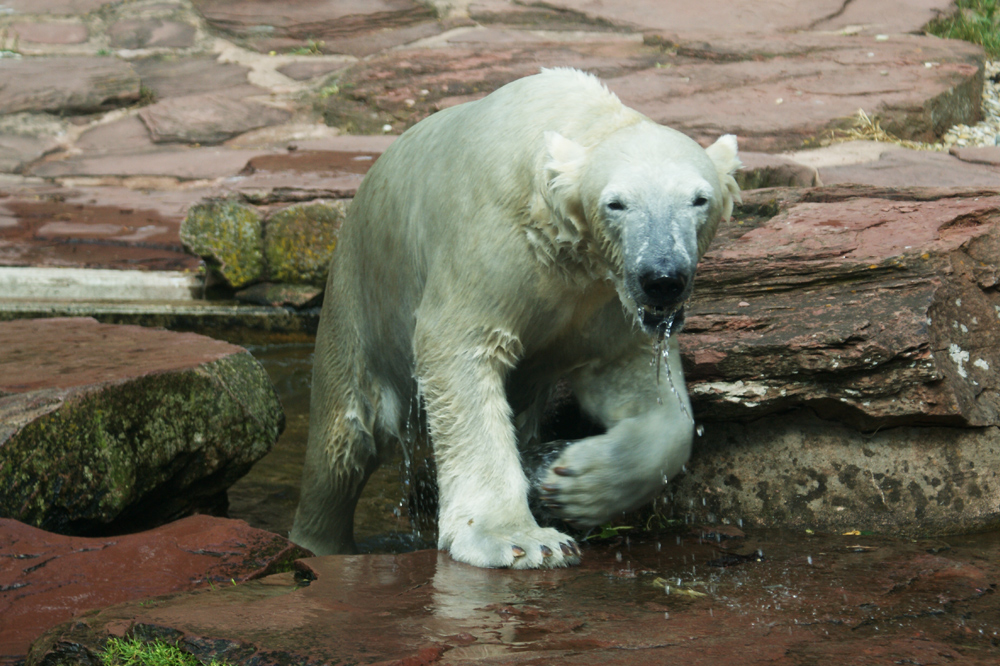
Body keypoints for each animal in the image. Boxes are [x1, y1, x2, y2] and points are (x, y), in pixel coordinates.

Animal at [290, 66, 744, 564]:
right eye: (616, 203)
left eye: (699, 199)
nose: (662, 277)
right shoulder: (491, 245)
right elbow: (461, 354)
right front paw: (517, 538)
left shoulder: (607, 296)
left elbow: (639, 387)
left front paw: (574, 483)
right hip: (359, 298)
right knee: (344, 438)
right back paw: (319, 539)